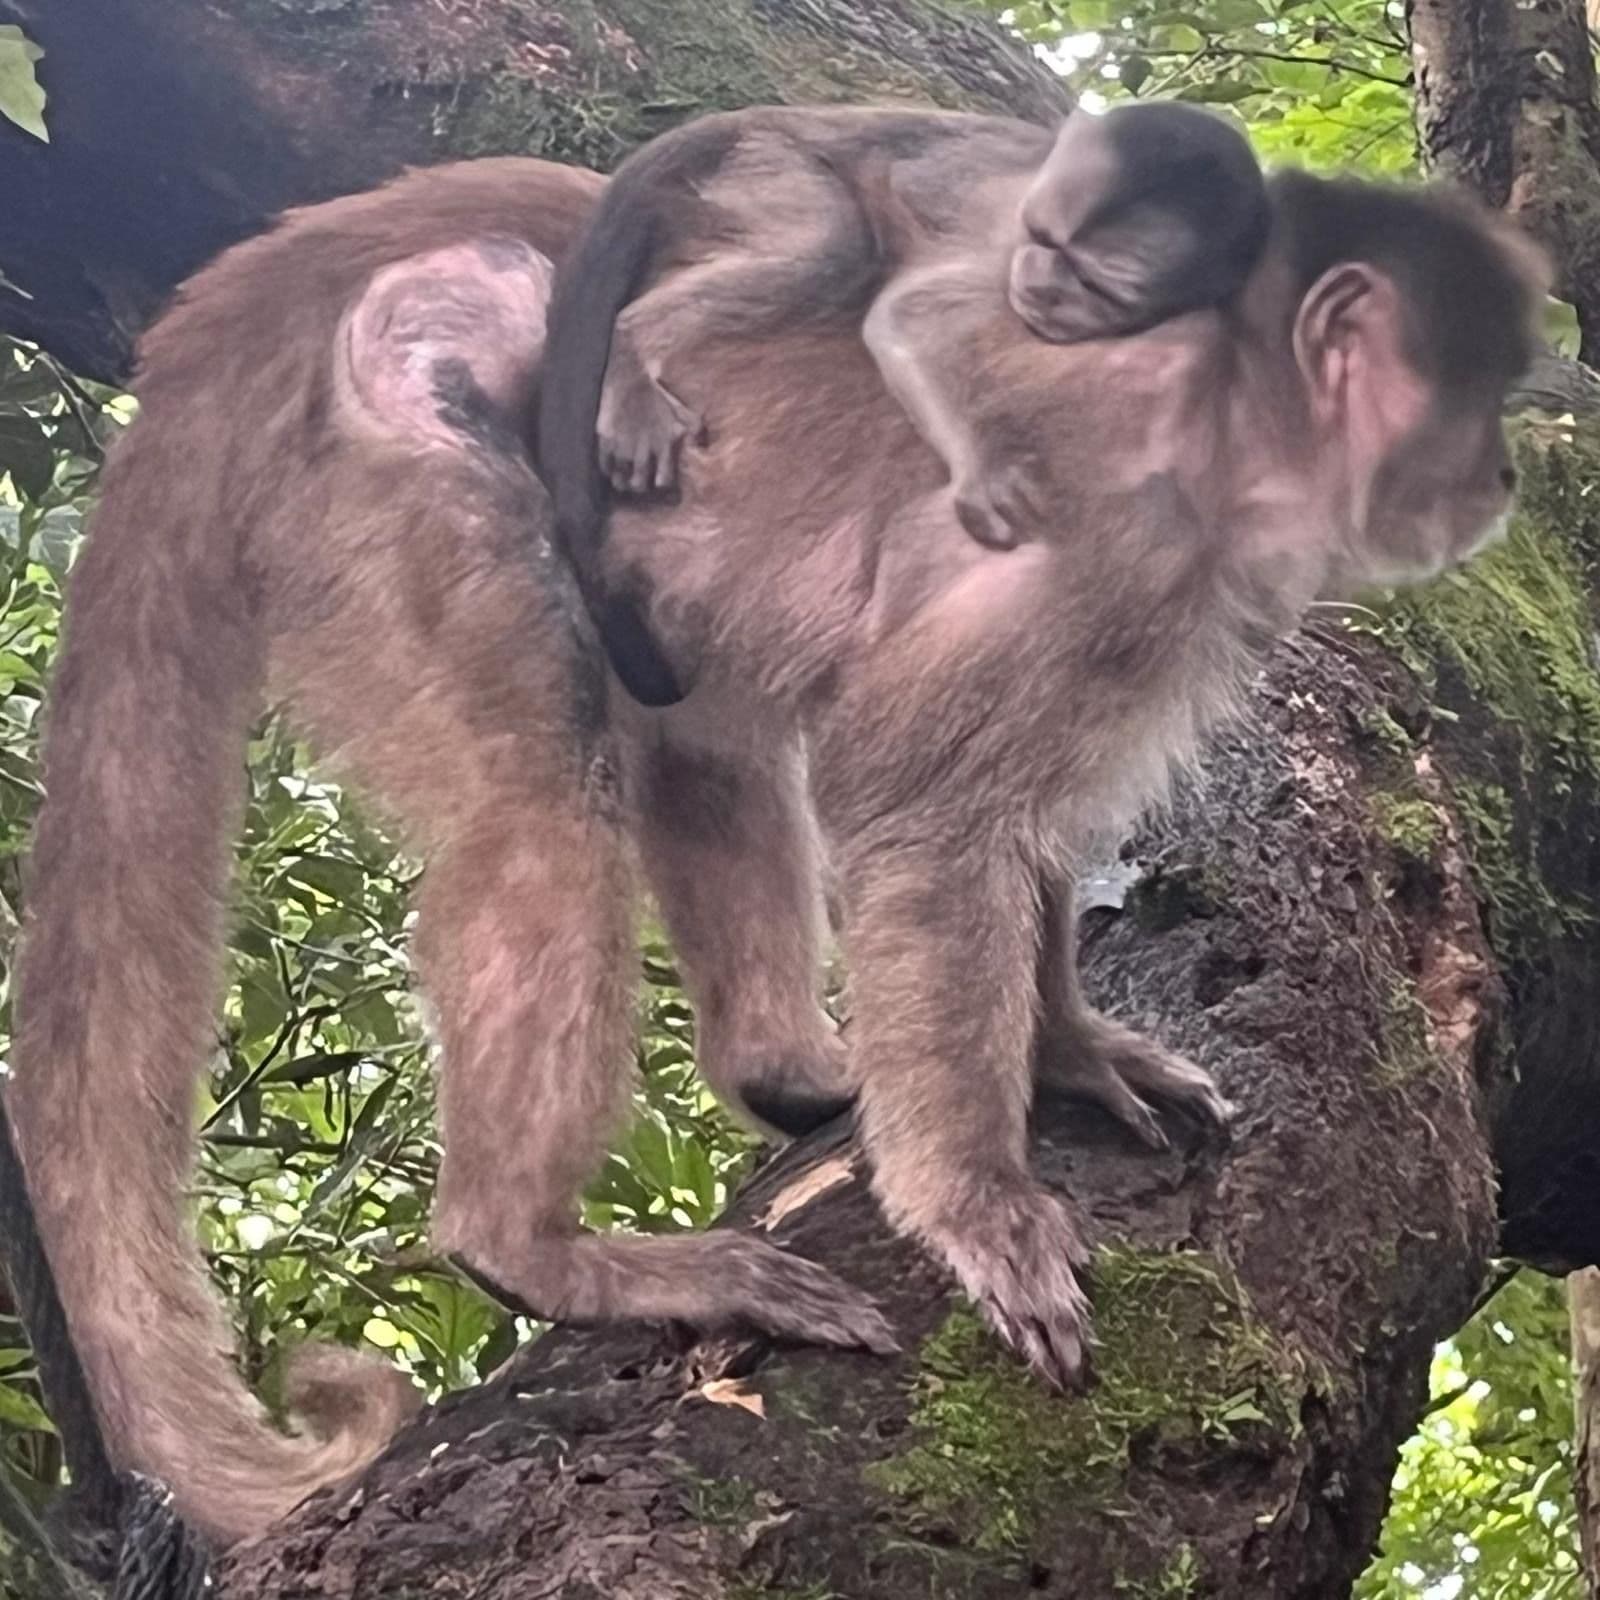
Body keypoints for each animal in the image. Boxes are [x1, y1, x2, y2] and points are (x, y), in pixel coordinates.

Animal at [534, 99, 1270, 704]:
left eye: (1094, 283)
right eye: (1046, 241)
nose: (1043, 285)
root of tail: (769, 117)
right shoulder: (1005, 251)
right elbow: (902, 319)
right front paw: (981, 469)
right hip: (771, 166)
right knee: (835, 248)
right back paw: (636, 339)